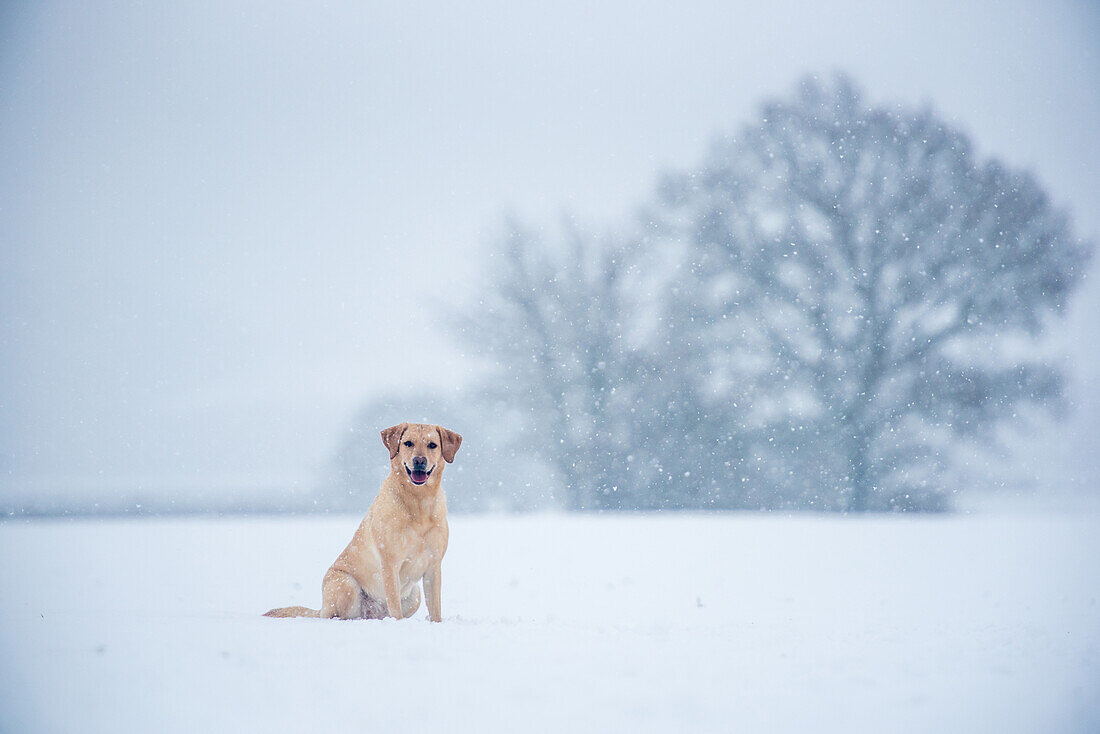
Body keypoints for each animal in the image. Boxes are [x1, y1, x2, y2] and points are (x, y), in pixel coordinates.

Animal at [264, 422, 462, 625]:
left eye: (432, 445)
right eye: (408, 443)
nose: (419, 460)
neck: (419, 502)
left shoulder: (433, 566)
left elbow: (435, 608)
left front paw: (436, 624)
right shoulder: (389, 564)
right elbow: (395, 606)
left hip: (414, 596)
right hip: (346, 584)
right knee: (339, 616)